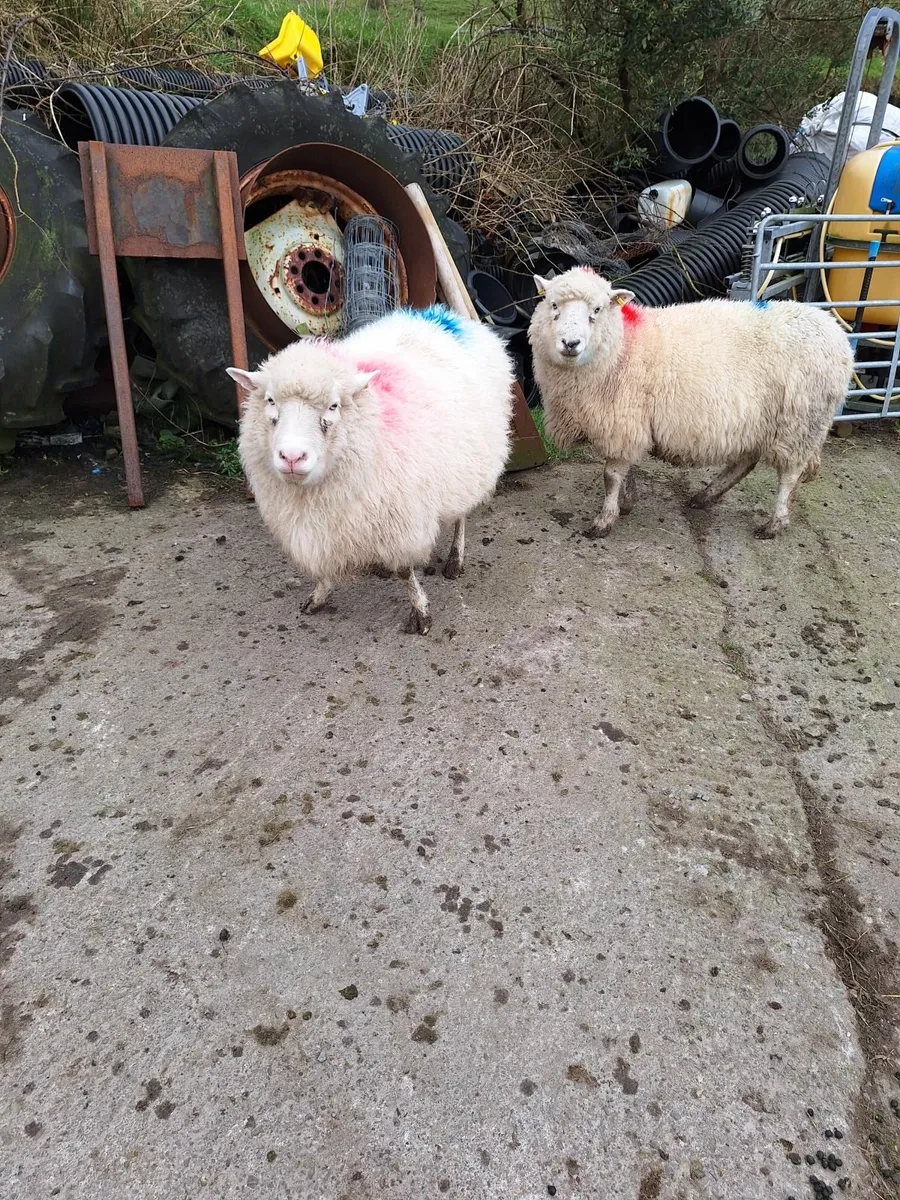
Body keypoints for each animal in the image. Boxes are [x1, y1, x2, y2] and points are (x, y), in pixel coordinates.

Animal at [227, 305, 513, 634]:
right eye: (270, 400)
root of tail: (443, 315)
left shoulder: (400, 517)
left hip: (469, 464)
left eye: (334, 406)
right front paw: (319, 595)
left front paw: (420, 612)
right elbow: (325, 567)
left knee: (461, 515)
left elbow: (404, 572)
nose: (292, 457)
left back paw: (456, 558)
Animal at [528, 268, 854, 539]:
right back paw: (705, 497)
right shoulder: (628, 425)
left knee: (789, 474)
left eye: (596, 310)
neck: (622, 347)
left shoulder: (622, 422)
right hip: (758, 421)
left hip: (800, 423)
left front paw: (605, 520)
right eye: (553, 305)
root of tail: (835, 333)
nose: (570, 344)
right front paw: (628, 501)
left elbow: (610, 476)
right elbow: (623, 471)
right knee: (745, 461)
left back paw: (774, 524)